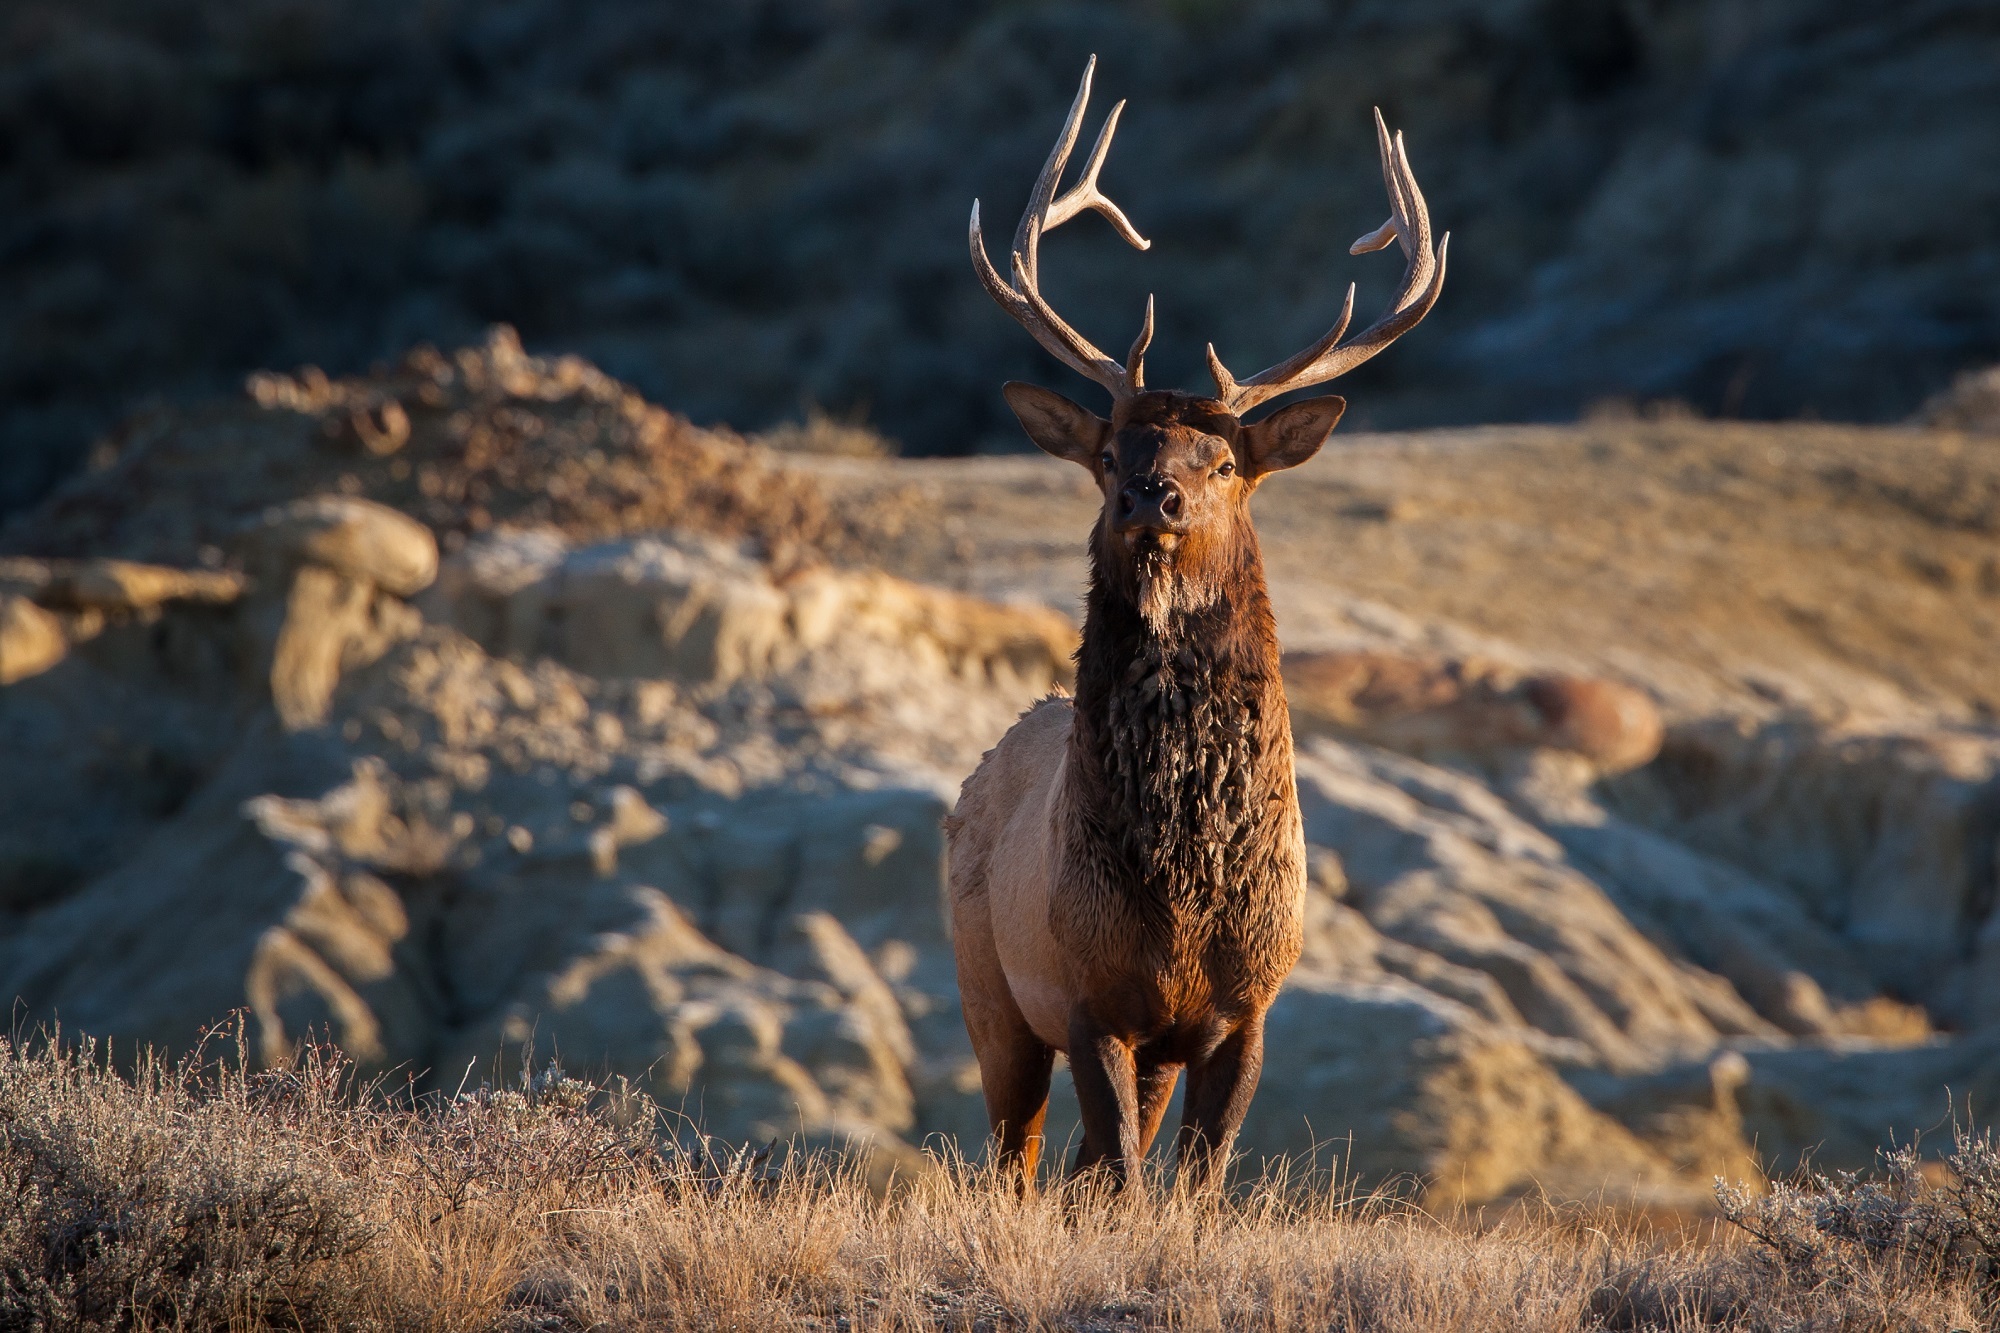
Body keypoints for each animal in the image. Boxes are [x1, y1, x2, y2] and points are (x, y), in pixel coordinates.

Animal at [945, 57, 1447, 1190]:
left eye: (1221, 462)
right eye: (1107, 453)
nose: (1150, 495)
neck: (1184, 889)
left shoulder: (1245, 1004)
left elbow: (1196, 1182)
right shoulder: (1086, 992)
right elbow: (1126, 1175)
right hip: (989, 988)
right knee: (1018, 1155)